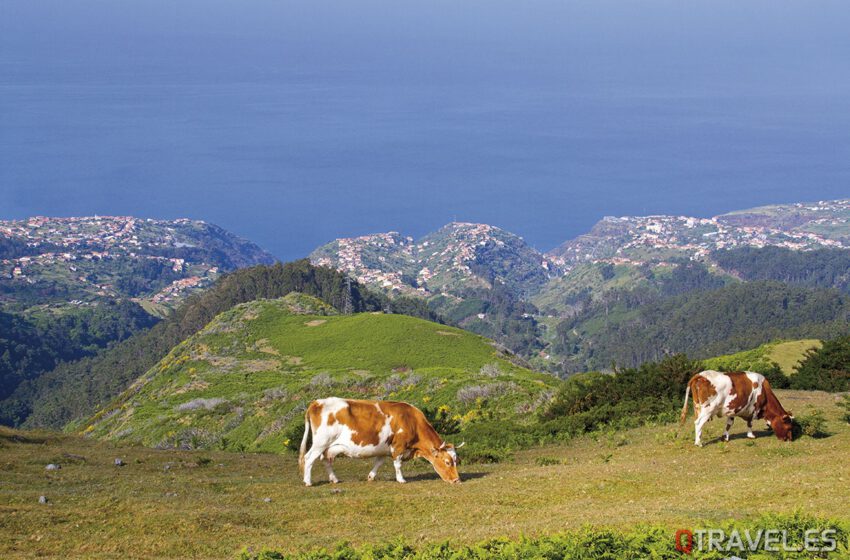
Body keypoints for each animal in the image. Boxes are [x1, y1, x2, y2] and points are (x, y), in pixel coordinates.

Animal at [294, 398, 460, 486]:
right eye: (447, 462)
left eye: (456, 460)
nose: (457, 480)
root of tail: (317, 402)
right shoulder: (398, 446)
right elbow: (397, 464)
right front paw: (401, 479)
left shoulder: (384, 448)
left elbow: (379, 462)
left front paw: (371, 477)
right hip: (320, 442)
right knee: (309, 458)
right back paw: (308, 482)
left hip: (328, 446)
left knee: (326, 460)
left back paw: (334, 479)